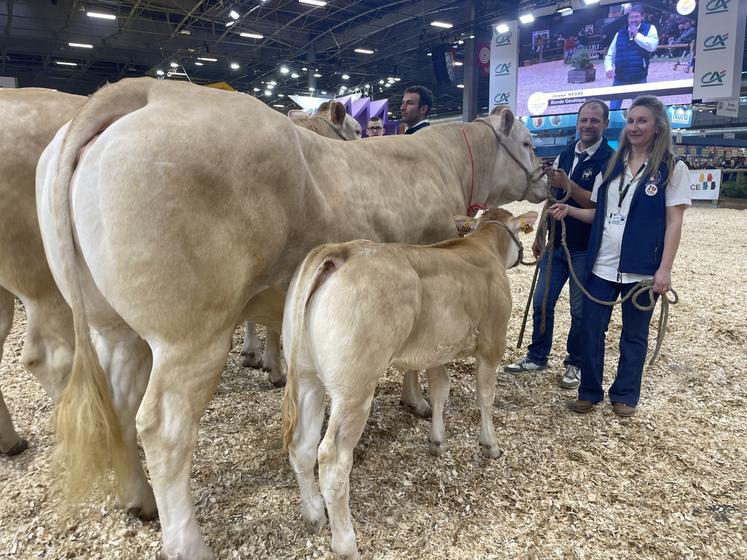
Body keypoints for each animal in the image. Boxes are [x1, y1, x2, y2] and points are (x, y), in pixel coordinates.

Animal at [280, 208, 536, 556]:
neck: (481, 247)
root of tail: (342, 251)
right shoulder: (492, 343)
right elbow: (485, 396)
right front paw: (490, 445)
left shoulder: (438, 350)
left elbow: (441, 389)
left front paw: (437, 440)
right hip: (354, 389)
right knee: (332, 459)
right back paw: (346, 543)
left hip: (308, 377)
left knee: (302, 446)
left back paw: (314, 514)